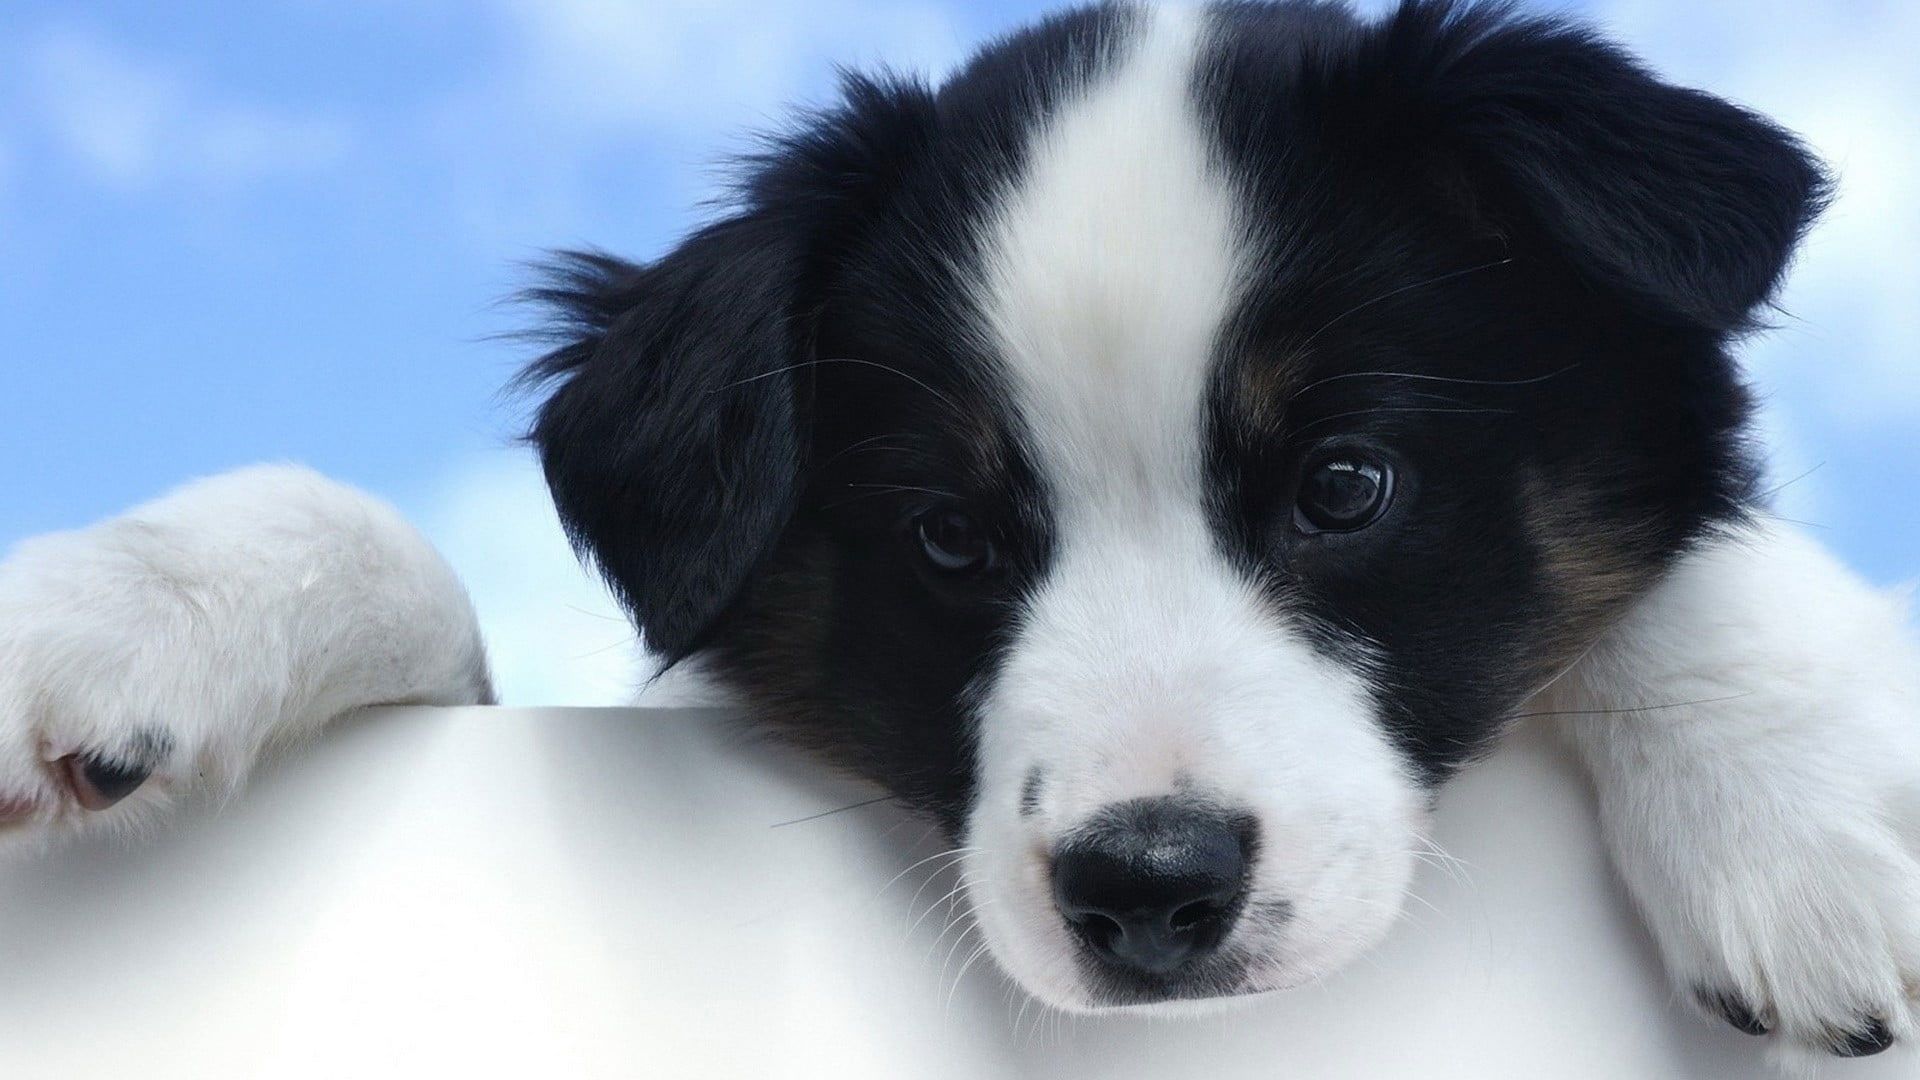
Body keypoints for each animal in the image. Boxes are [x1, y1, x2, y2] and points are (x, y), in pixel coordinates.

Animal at [3, 0, 1920, 1060]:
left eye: (1345, 487)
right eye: (947, 538)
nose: (1150, 894)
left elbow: (1701, 566)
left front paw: (1803, 837)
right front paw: (109, 604)